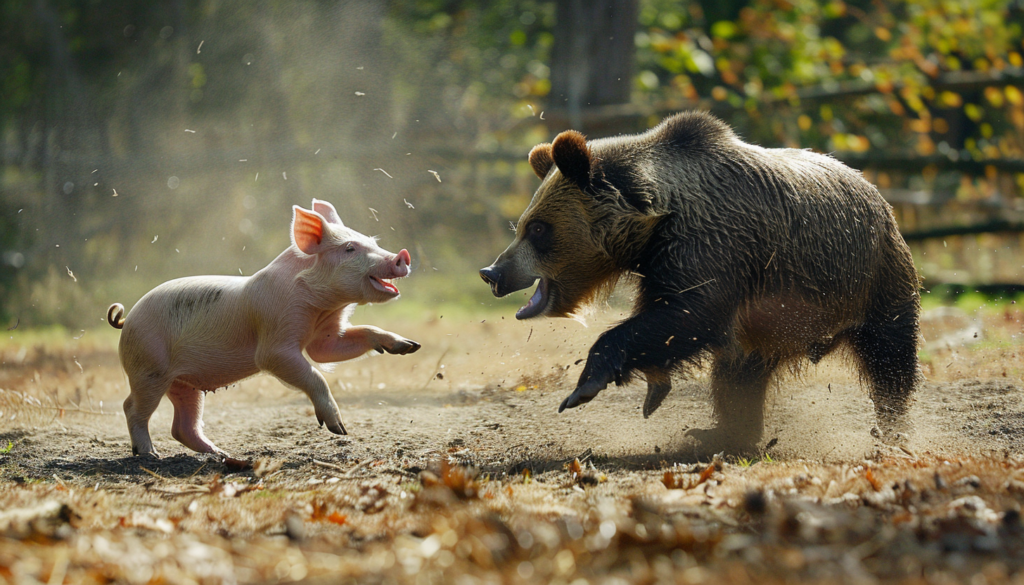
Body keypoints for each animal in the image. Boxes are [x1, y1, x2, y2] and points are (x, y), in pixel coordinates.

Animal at [479, 112, 921, 454]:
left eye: (538, 228)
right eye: (522, 224)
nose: (493, 273)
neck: (653, 226)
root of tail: (874, 189)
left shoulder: (712, 245)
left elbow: (686, 314)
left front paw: (584, 386)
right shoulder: (664, 265)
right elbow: (671, 326)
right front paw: (652, 390)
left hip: (871, 278)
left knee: (891, 360)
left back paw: (892, 430)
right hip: (774, 322)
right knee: (739, 377)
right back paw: (720, 433)